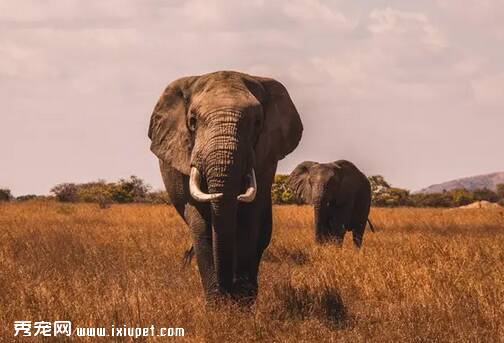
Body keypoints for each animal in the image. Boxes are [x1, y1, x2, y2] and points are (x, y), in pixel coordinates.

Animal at [148, 70, 302, 304]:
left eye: (257, 122)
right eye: (192, 121)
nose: (227, 291)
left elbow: (248, 221)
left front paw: (241, 303)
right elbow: (201, 224)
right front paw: (218, 305)